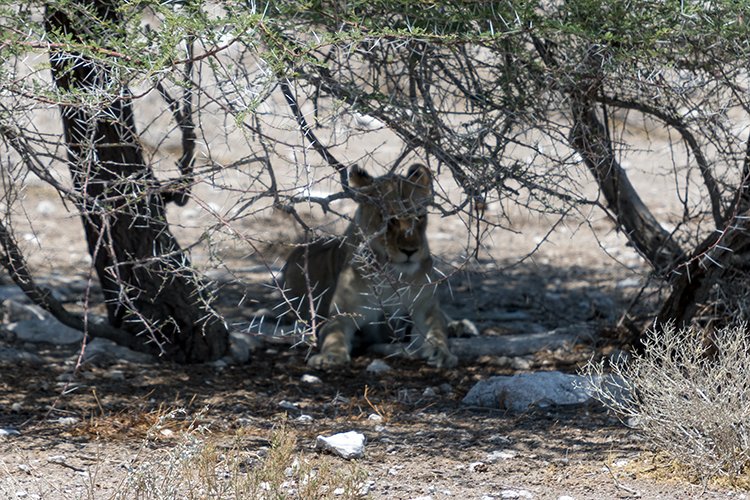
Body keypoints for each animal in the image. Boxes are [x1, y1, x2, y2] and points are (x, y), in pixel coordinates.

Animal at [282, 162, 462, 370]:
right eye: (390, 219)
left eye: (419, 217)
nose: (410, 251)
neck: (394, 276)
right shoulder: (342, 314)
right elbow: (334, 334)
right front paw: (330, 356)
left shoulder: (425, 309)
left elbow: (438, 330)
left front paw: (442, 353)